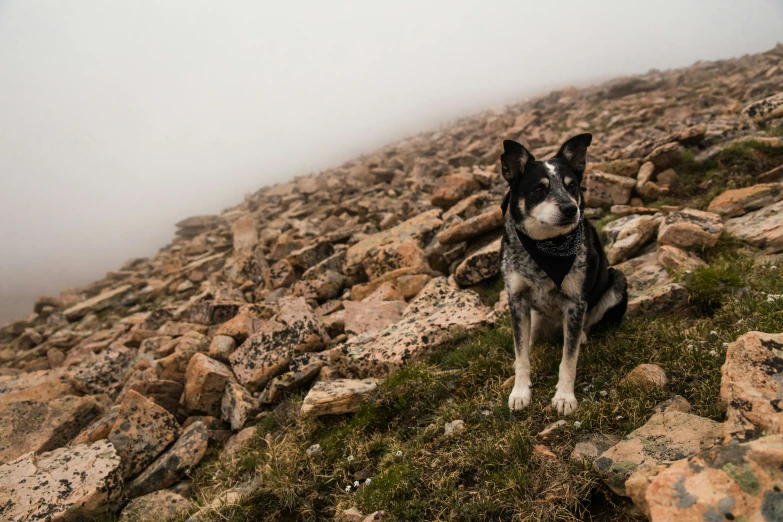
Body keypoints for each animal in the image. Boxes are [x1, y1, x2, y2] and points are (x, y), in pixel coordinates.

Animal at [502, 133, 632, 414]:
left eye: (572, 186)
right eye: (539, 188)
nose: (571, 208)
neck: (545, 247)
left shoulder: (575, 303)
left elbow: (568, 359)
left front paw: (564, 397)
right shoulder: (516, 300)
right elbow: (522, 355)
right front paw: (520, 392)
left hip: (617, 280)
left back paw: (581, 335)